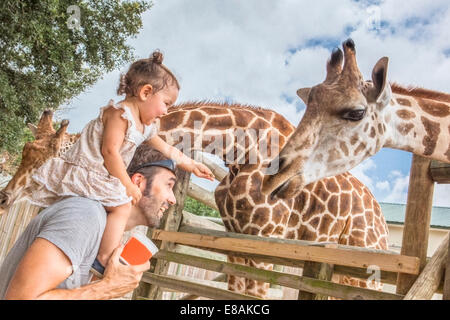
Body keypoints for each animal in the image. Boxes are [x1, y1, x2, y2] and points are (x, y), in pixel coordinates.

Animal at [0, 102, 388, 298]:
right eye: (26, 150)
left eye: (52, 157)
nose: (5, 196)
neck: (242, 152)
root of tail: (382, 223)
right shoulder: (238, 244)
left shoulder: (267, 243)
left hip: (363, 266)